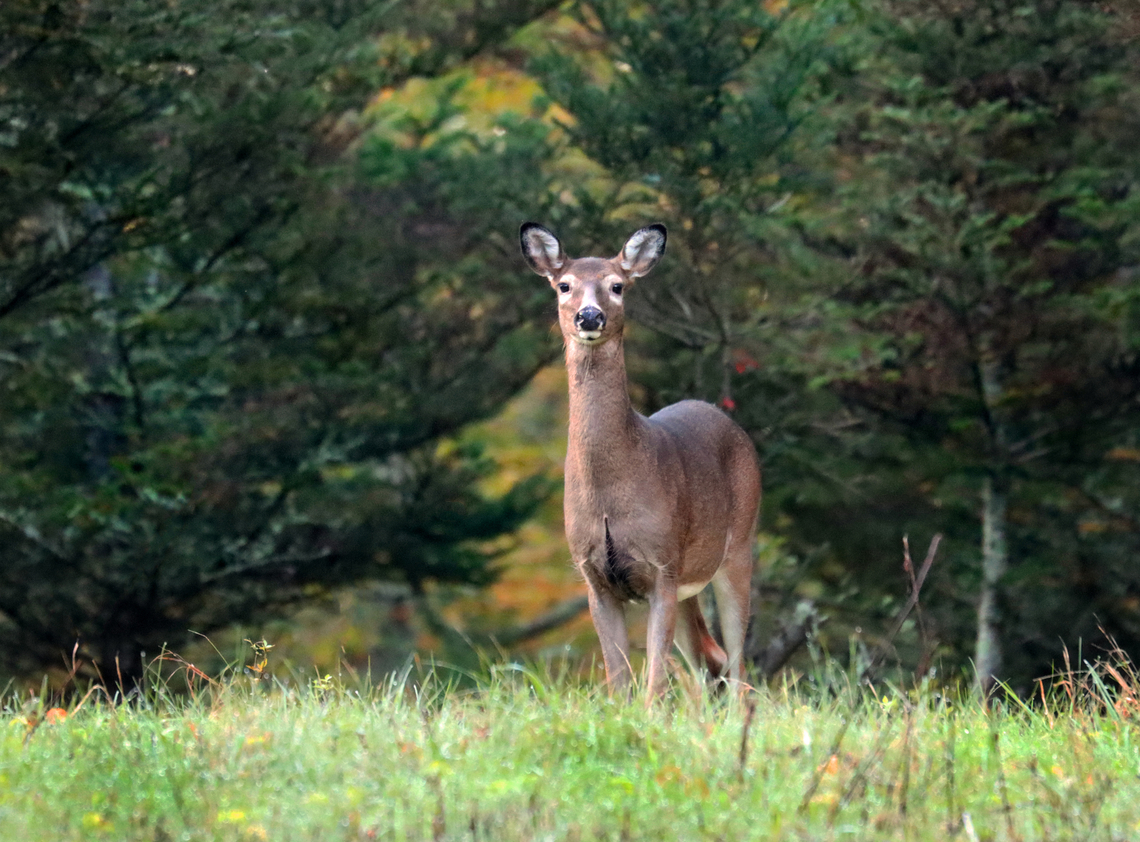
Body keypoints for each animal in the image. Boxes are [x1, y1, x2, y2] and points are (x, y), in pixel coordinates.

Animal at [520, 222, 762, 702]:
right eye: (564, 285)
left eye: (617, 285)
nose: (589, 317)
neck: (610, 495)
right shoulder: (594, 575)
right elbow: (619, 680)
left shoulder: (661, 566)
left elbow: (654, 681)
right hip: (691, 580)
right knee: (708, 663)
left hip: (738, 547)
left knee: (737, 663)